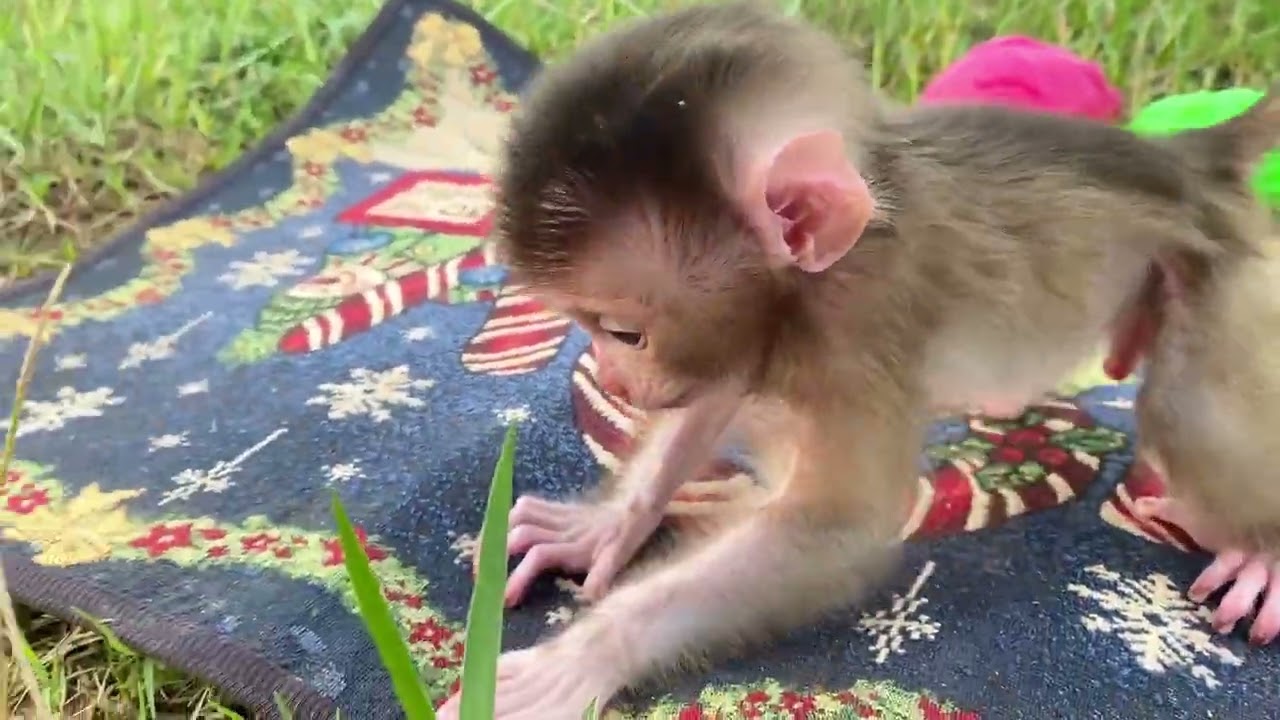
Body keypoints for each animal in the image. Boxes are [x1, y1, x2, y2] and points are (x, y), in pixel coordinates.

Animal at [435, 4, 1280, 717]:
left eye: (624, 333)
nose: (613, 379)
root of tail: (1188, 162)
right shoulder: (760, 330)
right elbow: (713, 397)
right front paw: (604, 527)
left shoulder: (855, 328)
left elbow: (836, 529)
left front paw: (577, 660)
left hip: (1222, 272)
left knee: (1184, 411)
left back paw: (1262, 554)